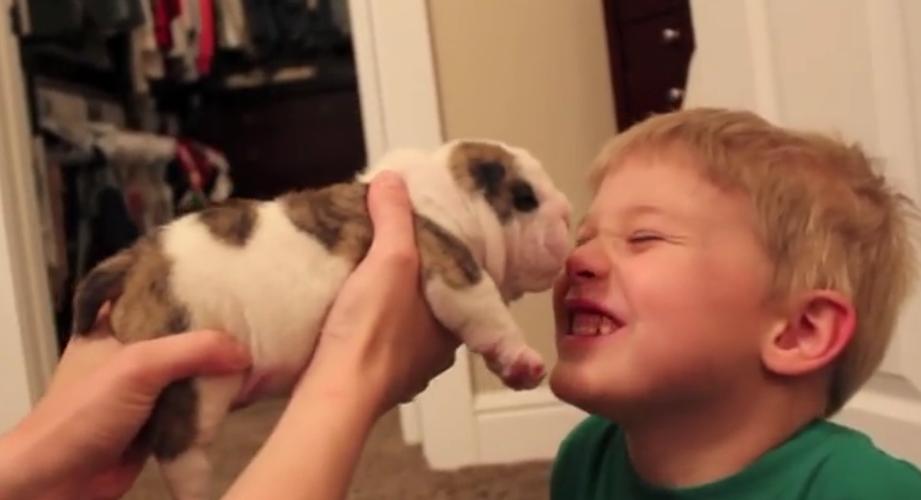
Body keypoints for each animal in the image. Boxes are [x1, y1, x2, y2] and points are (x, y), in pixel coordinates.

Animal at [72, 139, 572, 498]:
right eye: (525, 198)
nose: (567, 215)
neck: (443, 193)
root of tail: (133, 262)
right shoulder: (450, 266)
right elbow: (487, 312)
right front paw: (523, 359)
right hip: (193, 386)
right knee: (180, 450)